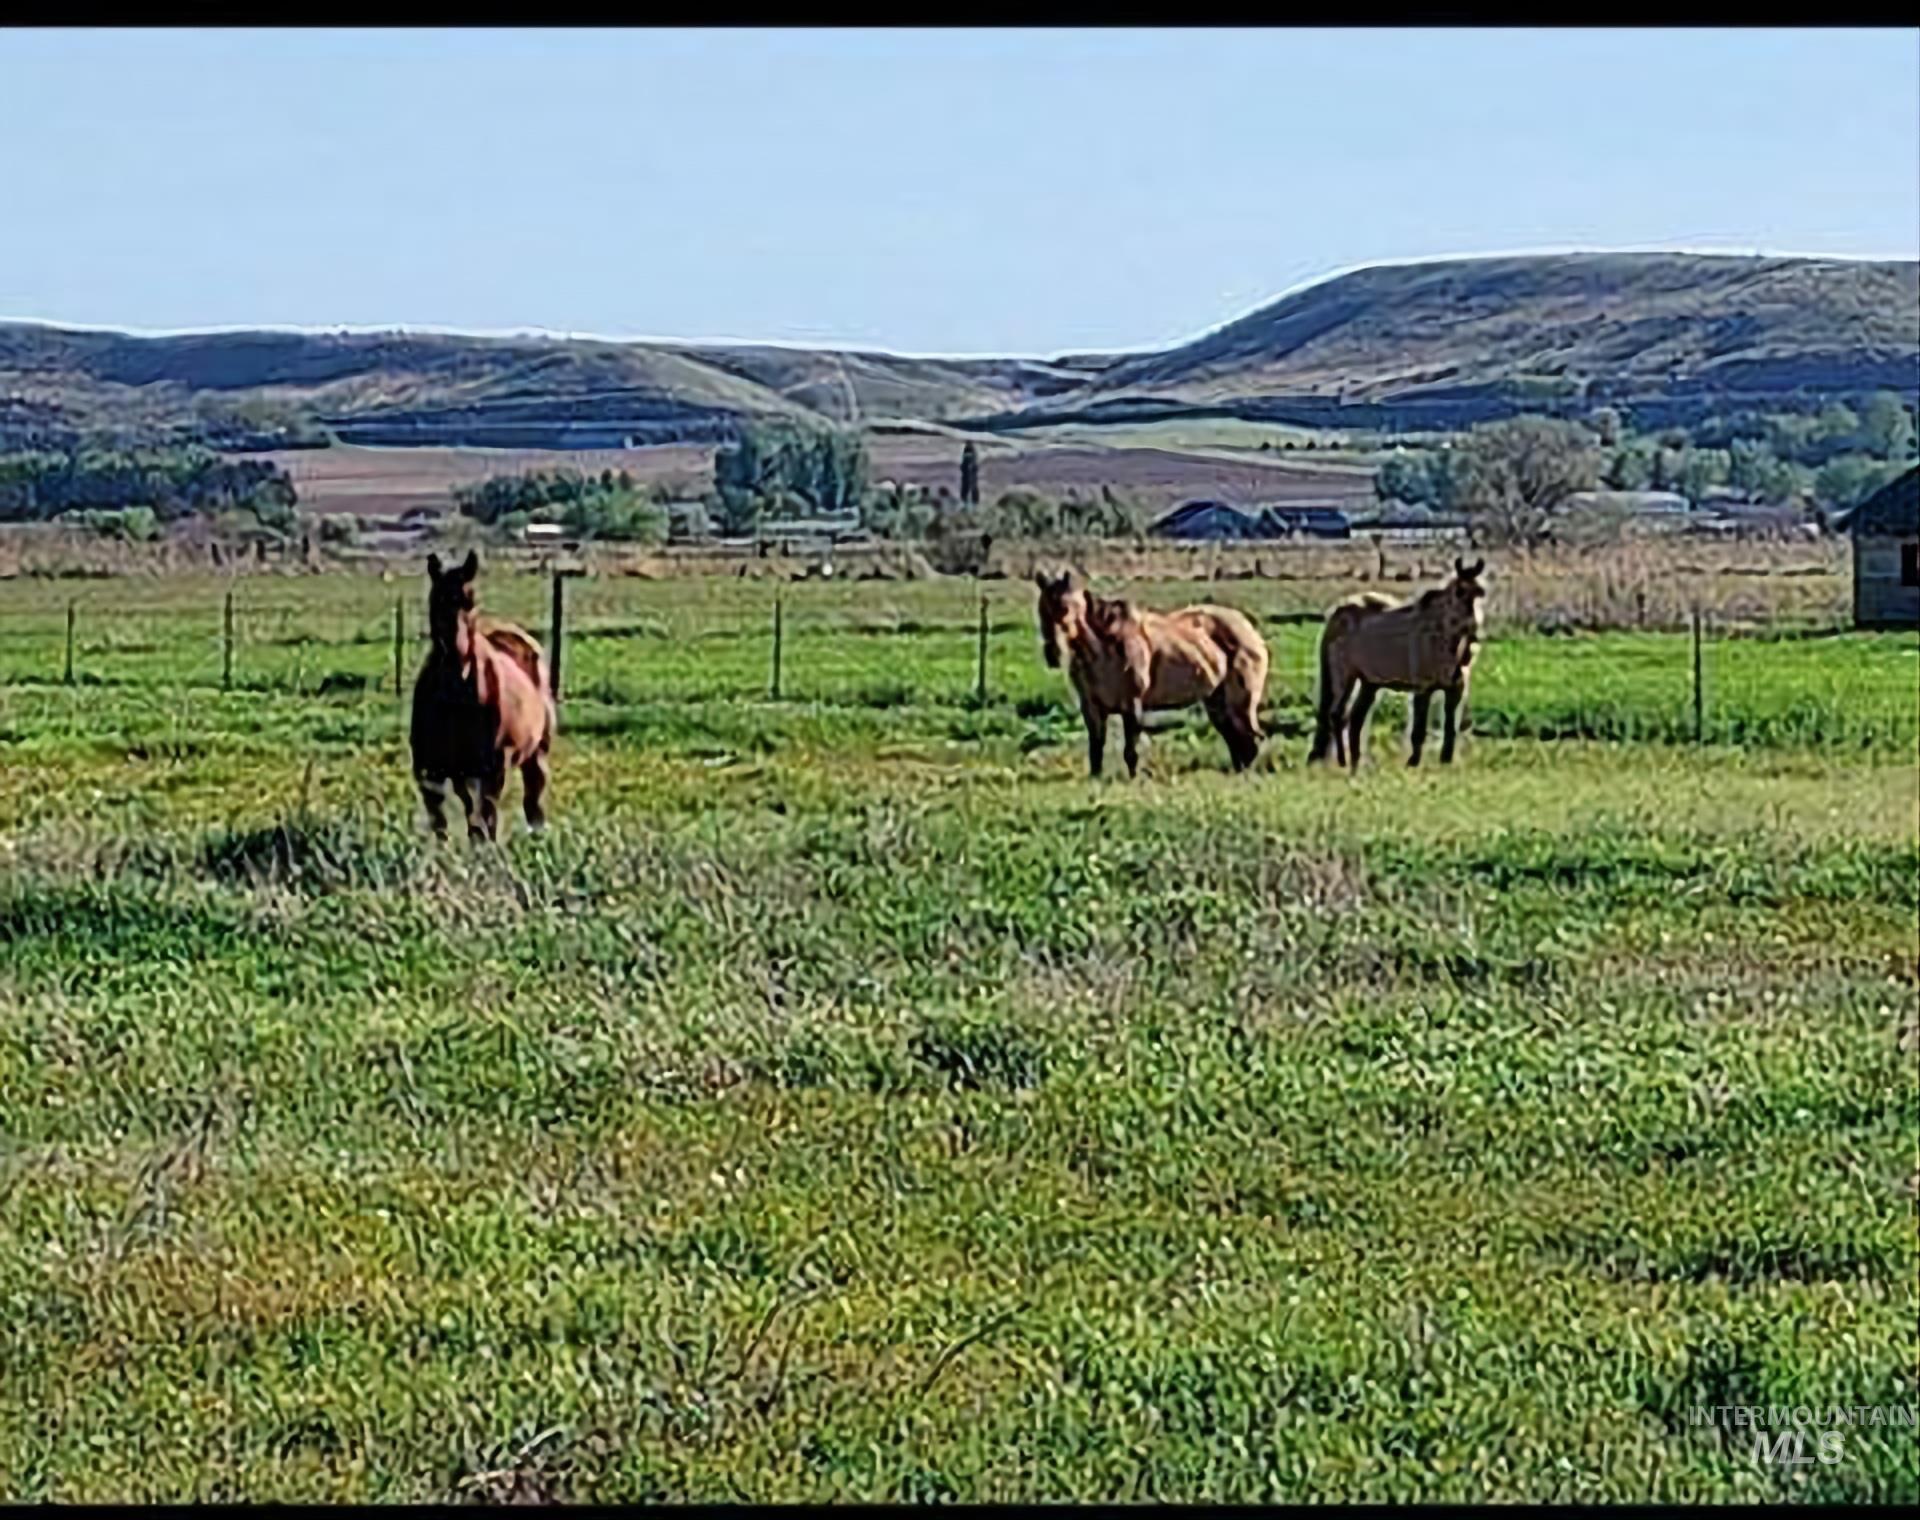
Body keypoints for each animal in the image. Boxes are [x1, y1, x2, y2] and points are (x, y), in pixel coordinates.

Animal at [408, 552, 552, 844]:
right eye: (435, 599)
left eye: (470, 601)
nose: (455, 655)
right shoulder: (430, 772)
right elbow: (442, 823)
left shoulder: (493, 767)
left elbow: (486, 818)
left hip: (536, 753)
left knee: (532, 801)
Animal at [1036, 571, 1274, 783]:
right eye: (1041, 611)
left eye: (1065, 609)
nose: (1052, 655)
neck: (1104, 650)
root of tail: (1250, 630)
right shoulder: (1091, 708)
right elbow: (1096, 748)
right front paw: (1096, 779)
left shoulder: (1132, 705)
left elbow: (1130, 751)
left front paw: (1134, 780)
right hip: (1217, 702)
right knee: (1236, 740)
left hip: (1241, 702)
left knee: (1252, 738)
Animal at [1305, 556, 1482, 771]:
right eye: (1459, 592)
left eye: (1480, 593)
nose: (1473, 640)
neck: (1442, 638)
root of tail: (1340, 611)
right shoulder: (1423, 689)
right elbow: (1418, 730)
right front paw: (1413, 763)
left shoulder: (1455, 690)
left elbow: (1450, 729)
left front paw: (1446, 762)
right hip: (1344, 677)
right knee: (1337, 716)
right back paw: (1343, 761)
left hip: (1368, 683)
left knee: (1355, 720)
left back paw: (1359, 762)